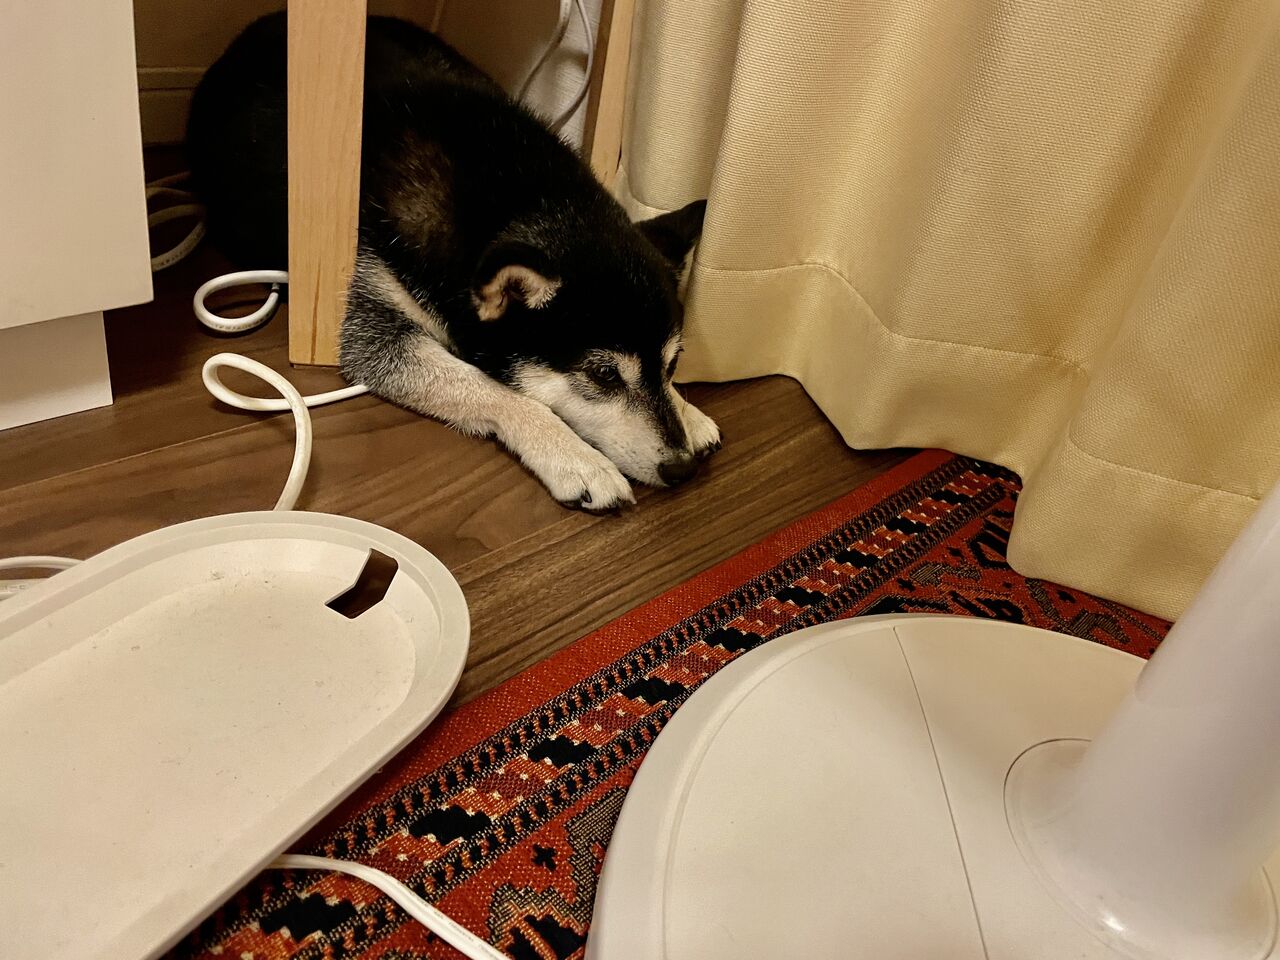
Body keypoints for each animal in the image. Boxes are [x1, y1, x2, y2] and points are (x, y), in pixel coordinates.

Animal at [186, 13, 719, 510]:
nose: (681, 469)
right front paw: (574, 456)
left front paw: (687, 412)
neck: (504, 198)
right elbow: (492, 388)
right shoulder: (373, 324)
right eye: (605, 375)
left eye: (673, 365)